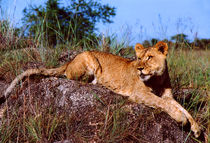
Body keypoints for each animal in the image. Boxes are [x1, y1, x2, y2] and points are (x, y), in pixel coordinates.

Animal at [0, 41, 201, 137]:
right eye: (138, 58)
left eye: (149, 57)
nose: (139, 69)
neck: (157, 79)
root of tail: (69, 61)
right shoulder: (139, 93)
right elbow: (164, 105)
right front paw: (180, 119)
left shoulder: (168, 96)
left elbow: (183, 108)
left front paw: (197, 128)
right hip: (90, 59)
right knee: (72, 76)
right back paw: (99, 83)